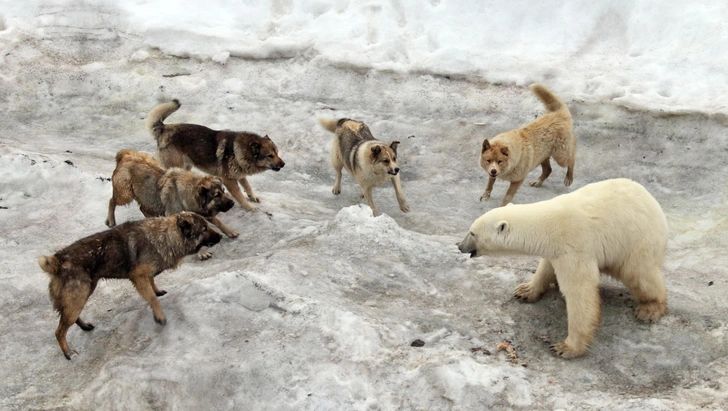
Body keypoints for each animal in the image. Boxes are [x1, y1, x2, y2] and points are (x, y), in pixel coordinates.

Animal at [38, 212, 220, 360]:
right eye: (204, 229)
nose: (220, 236)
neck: (165, 236)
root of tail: (57, 261)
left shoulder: (146, 276)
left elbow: (153, 285)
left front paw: (157, 290)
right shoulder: (138, 276)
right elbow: (152, 298)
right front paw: (159, 316)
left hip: (83, 294)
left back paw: (84, 326)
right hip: (78, 297)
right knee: (59, 331)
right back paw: (68, 352)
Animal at [106, 150, 236, 260]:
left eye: (223, 191)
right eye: (217, 195)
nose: (232, 203)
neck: (186, 194)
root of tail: (125, 155)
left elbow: (218, 221)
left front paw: (230, 231)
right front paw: (202, 252)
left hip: (147, 195)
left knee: (143, 208)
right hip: (125, 194)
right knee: (112, 201)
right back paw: (111, 220)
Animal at [147, 98, 284, 211]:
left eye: (277, 153)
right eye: (270, 155)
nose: (283, 164)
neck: (239, 152)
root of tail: (164, 128)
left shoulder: (240, 176)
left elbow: (248, 187)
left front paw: (253, 197)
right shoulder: (229, 180)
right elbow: (240, 196)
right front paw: (249, 207)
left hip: (186, 166)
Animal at [458, 179, 668, 358]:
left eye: (472, 233)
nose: (460, 246)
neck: (548, 225)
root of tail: (651, 199)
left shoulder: (575, 246)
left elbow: (580, 291)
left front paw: (566, 347)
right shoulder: (556, 250)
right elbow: (546, 268)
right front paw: (525, 290)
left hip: (637, 239)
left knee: (639, 274)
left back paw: (649, 309)